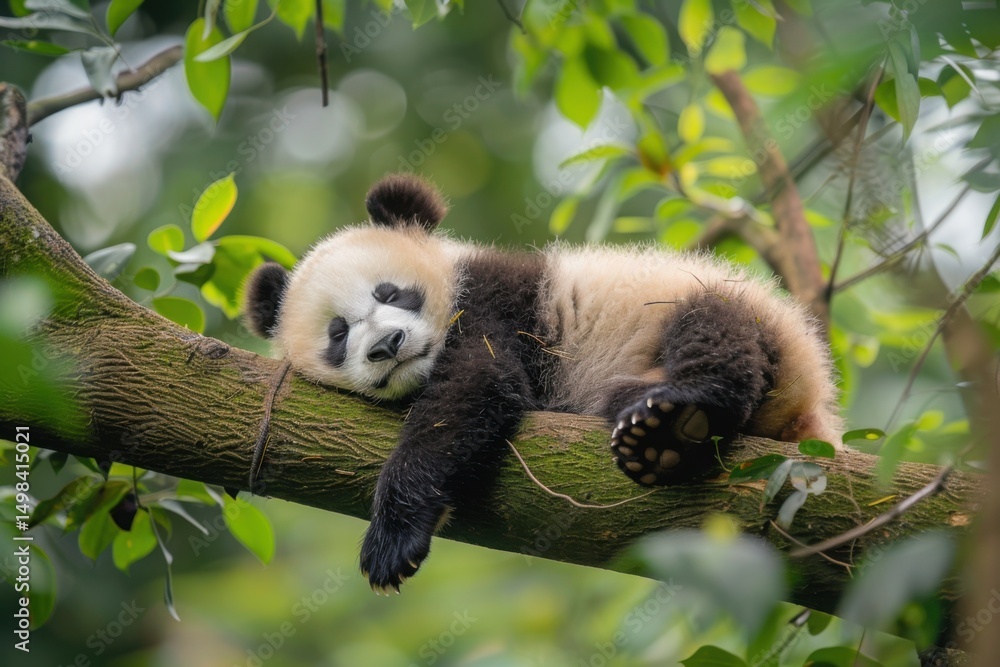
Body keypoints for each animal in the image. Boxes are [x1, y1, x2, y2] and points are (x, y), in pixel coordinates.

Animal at [243, 173, 841, 593]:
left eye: (390, 293)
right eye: (338, 333)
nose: (387, 346)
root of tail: (811, 403)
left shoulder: (490, 304)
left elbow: (473, 390)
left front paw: (392, 541)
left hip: (742, 317)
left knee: (716, 334)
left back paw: (672, 422)